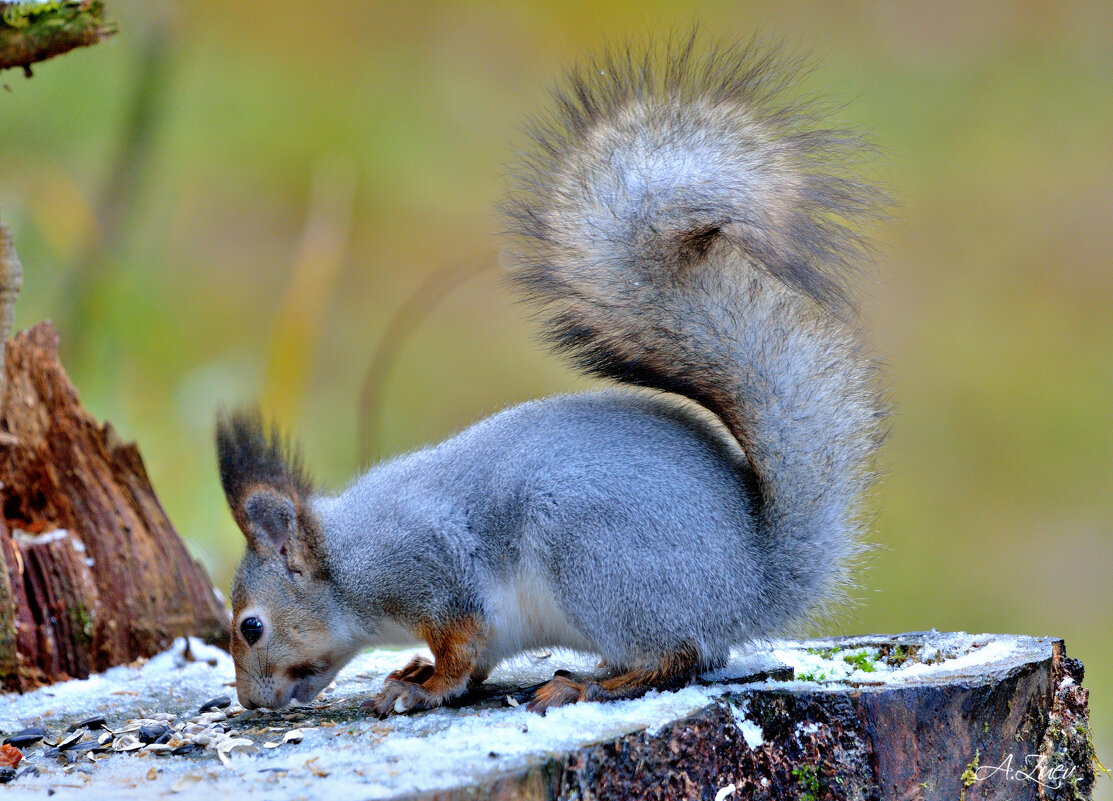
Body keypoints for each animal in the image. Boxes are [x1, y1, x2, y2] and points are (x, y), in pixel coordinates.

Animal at [214, 35, 885, 712]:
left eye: (252, 626)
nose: (249, 700)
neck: (349, 558)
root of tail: (752, 583)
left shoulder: (436, 573)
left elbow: (460, 647)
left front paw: (424, 688)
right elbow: (476, 659)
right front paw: (412, 673)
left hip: (595, 560)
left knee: (679, 658)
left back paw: (584, 686)